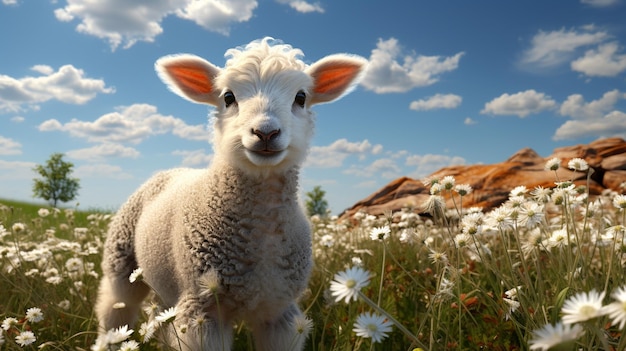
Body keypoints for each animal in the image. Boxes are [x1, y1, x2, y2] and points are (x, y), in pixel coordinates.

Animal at [93, 37, 366, 350]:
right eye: (227, 97)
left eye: (301, 97)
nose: (266, 132)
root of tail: (170, 171)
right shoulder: (203, 309)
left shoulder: (280, 310)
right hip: (122, 258)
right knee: (115, 307)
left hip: (167, 285)